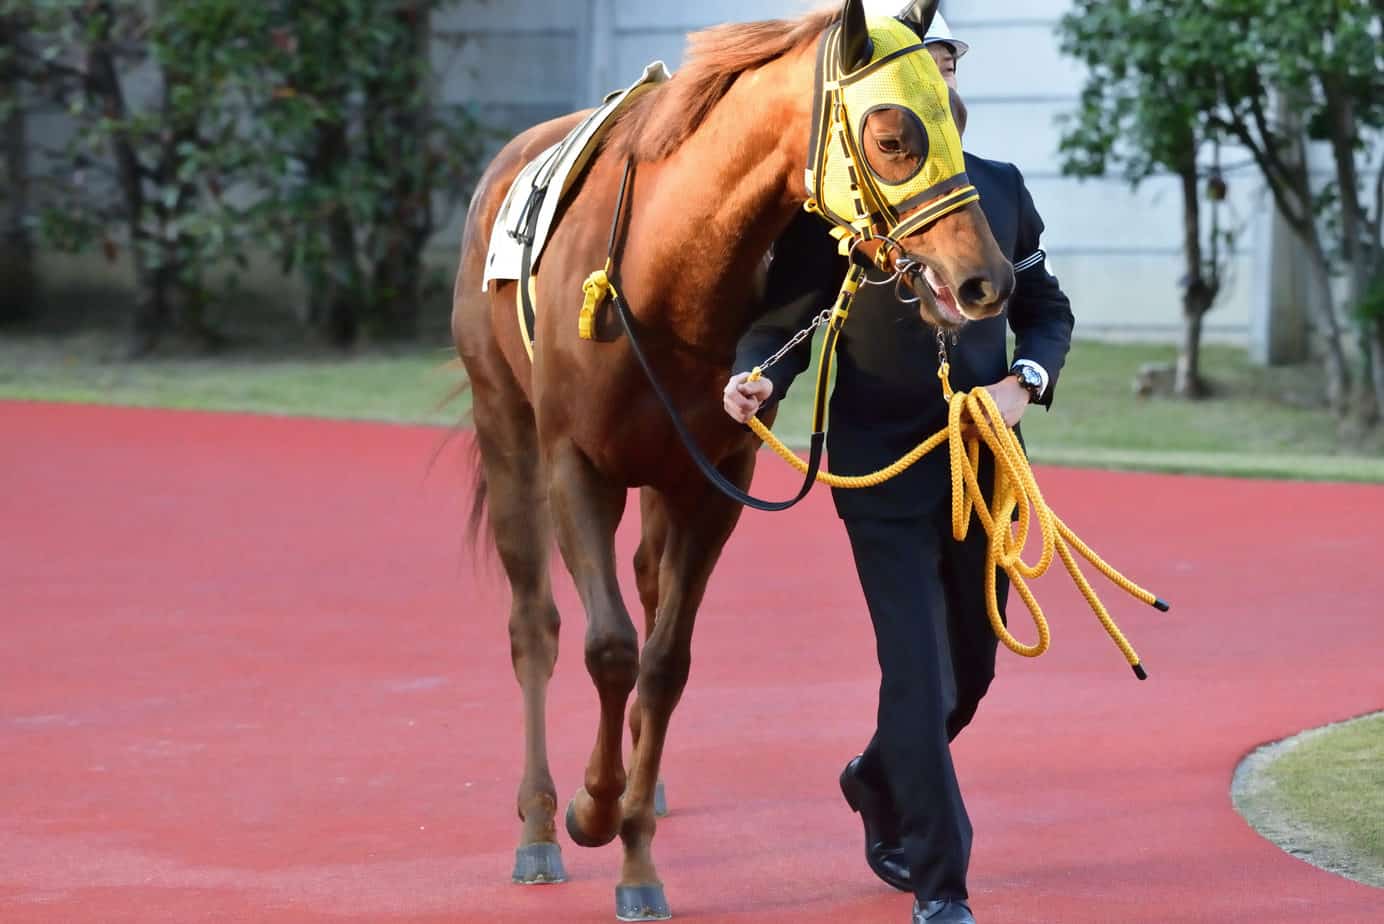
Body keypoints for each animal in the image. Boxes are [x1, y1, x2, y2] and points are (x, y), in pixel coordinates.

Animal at [451, 0, 1007, 918]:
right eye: (894, 136)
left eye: (960, 117)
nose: (986, 280)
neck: (665, 266)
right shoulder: (574, 464)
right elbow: (608, 647)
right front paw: (591, 809)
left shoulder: (715, 479)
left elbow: (665, 662)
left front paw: (636, 852)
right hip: (507, 429)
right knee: (535, 622)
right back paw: (538, 825)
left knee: (644, 591)